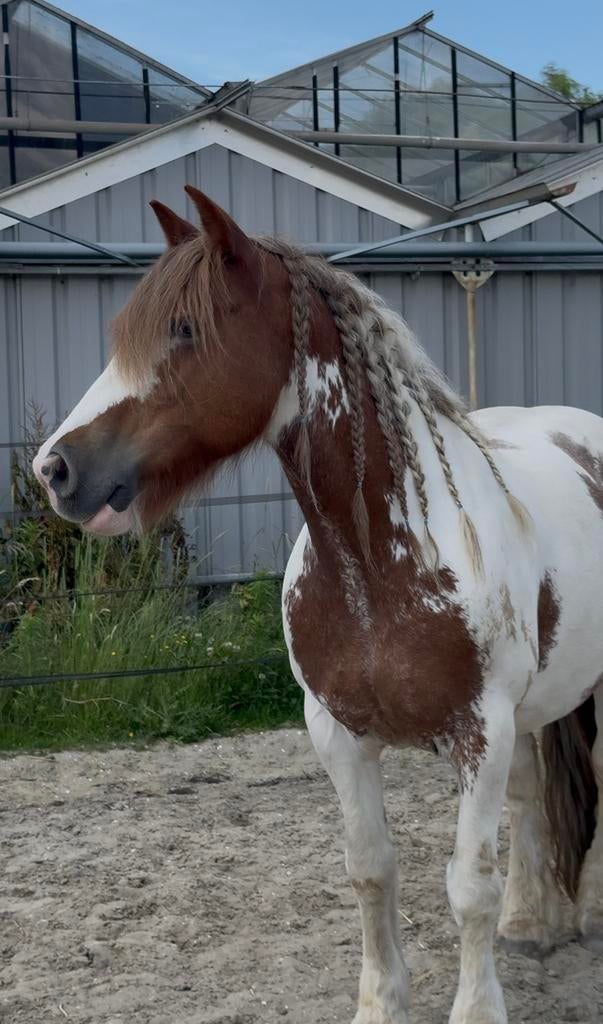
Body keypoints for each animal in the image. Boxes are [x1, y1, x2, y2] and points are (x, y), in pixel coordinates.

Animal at [33, 185, 602, 1024]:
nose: (56, 470)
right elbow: (370, 869)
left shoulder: (480, 733)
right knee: (535, 799)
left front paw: (475, 1006)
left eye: (184, 329)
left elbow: (468, 886)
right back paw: (532, 923)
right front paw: (381, 1003)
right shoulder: (339, 733)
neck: (380, 562)